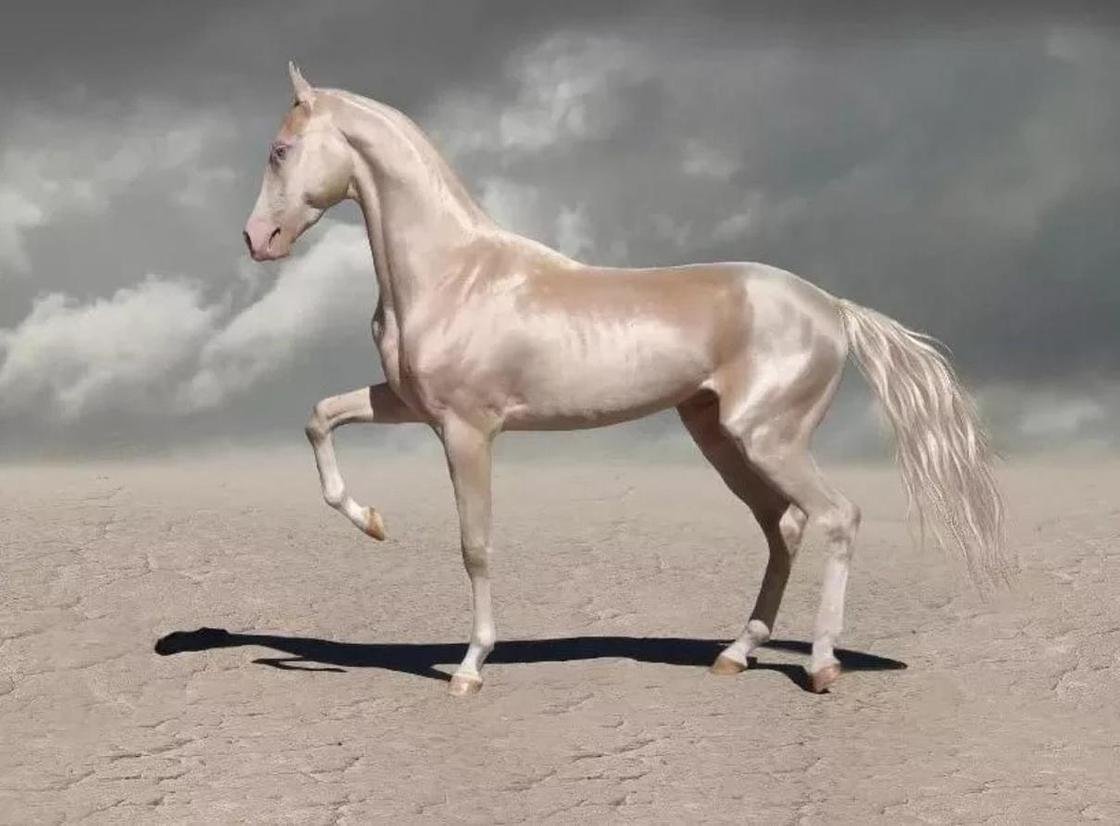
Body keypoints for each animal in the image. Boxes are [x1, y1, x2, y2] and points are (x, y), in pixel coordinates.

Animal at [243, 64, 1009, 696]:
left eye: (279, 151)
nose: (257, 240)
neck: (454, 274)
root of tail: (832, 307)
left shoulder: (467, 431)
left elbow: (475, 545)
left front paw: (468, 668)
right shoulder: (409, 405)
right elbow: (319, 416)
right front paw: (371, 521)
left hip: (769, 439)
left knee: (837, 517)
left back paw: (821, 666)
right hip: (721, 439)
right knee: (783, 527)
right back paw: (734, 655)